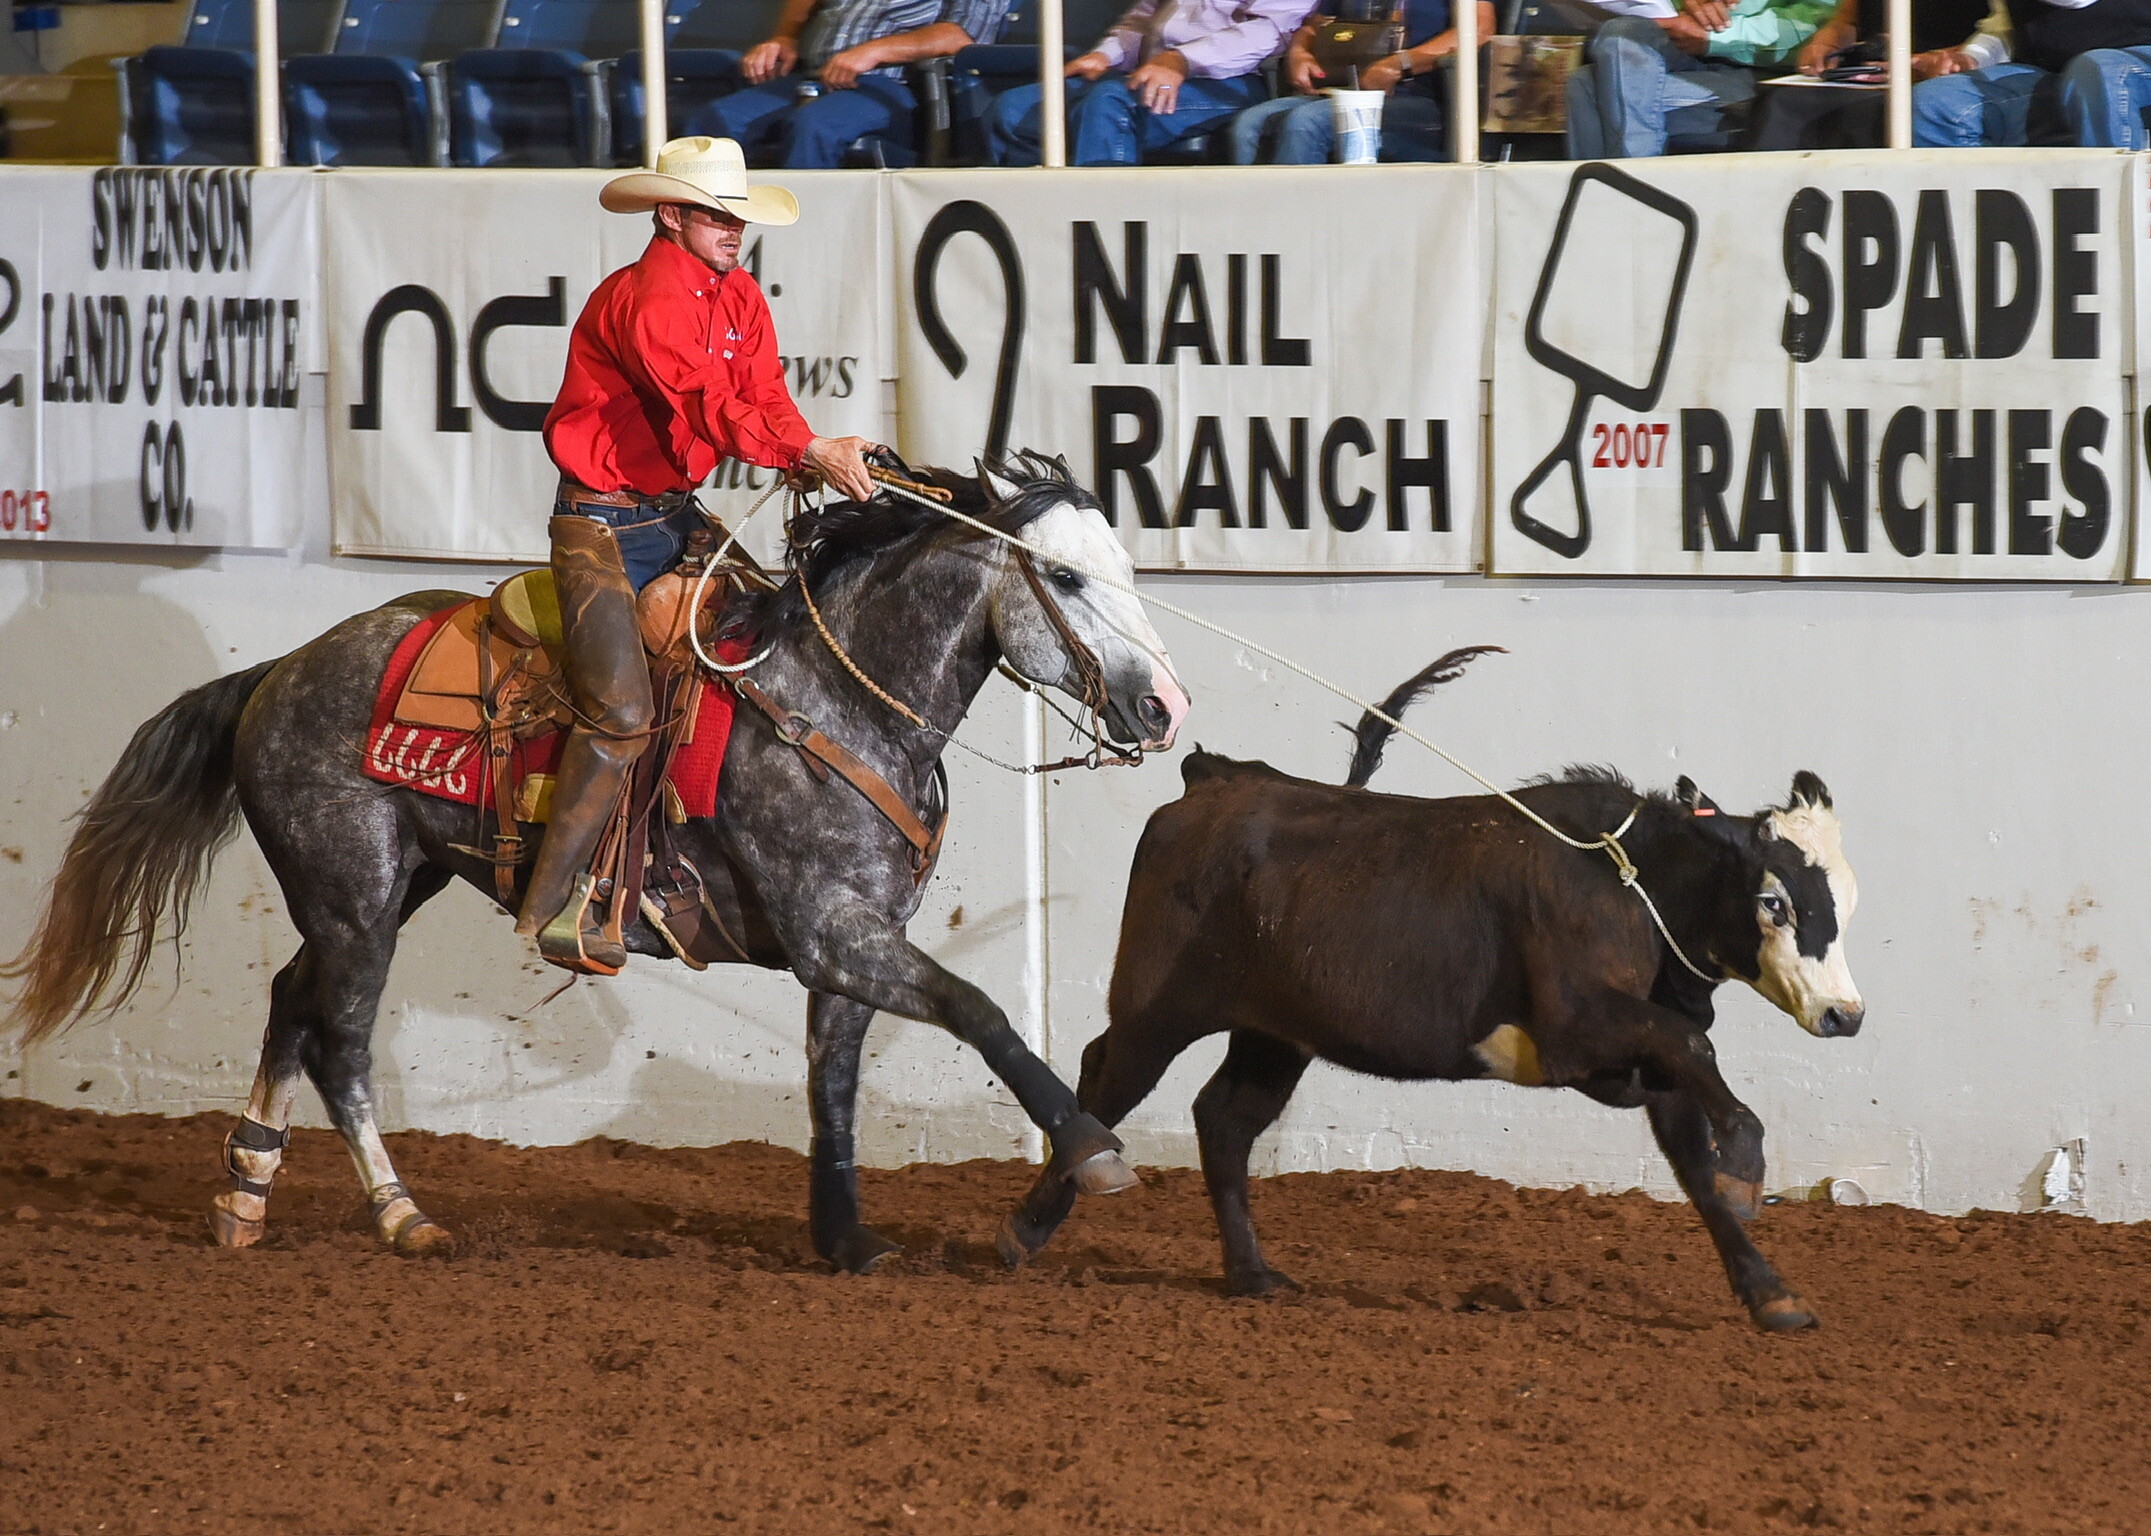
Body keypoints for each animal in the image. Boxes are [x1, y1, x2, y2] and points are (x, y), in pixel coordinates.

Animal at [4, 453, 1190, 1272]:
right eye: (1065, 577)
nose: (1164, 708)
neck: (836, 701)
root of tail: (276, 671)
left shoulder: (855, 937)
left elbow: (834, 1080)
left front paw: (846, 1240)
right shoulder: (832, 931)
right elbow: (979, 1009)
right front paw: (1091, 1148)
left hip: (385, 887)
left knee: (293, 1002)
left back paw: (246, 1192)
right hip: (354, 894)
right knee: (338, 1038)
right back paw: (403, 1217)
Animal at [995, 647, 1863, 1331]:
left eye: (1846, 904)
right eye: (1775, 902)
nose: (1843, 1015)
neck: (1629, 883)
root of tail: (1213, 781)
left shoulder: (1651, 1061)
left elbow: (1694, 1157)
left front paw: (1770, 1292)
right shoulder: (1580, 1028)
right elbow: (1695, 1053)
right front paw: (1747, 1167)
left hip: (1274, 1032)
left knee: (1225, 1118)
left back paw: (1250, 1274)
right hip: (1157, 1005)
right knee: (1106, 1075)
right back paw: (1024, 1230)